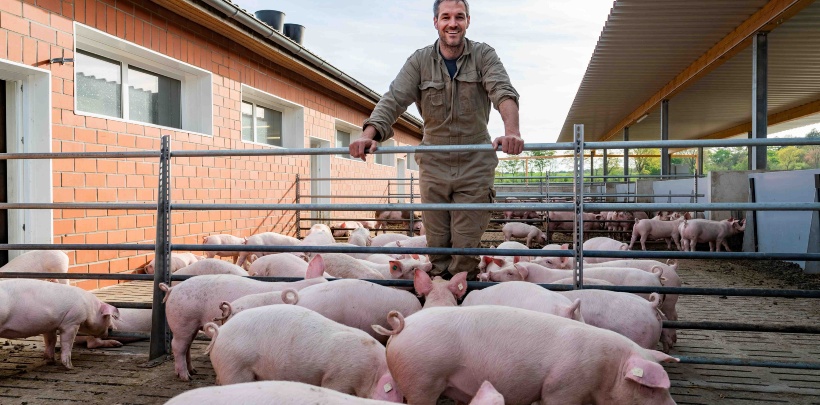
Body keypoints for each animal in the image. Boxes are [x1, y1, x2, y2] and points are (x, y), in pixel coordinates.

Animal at [160, 272, 326, 378]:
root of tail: (172, 289)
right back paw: (186, 377)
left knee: (186, 347)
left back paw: (193, 371)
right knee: (178, 346)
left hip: (191, 325)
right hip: (183, 321)